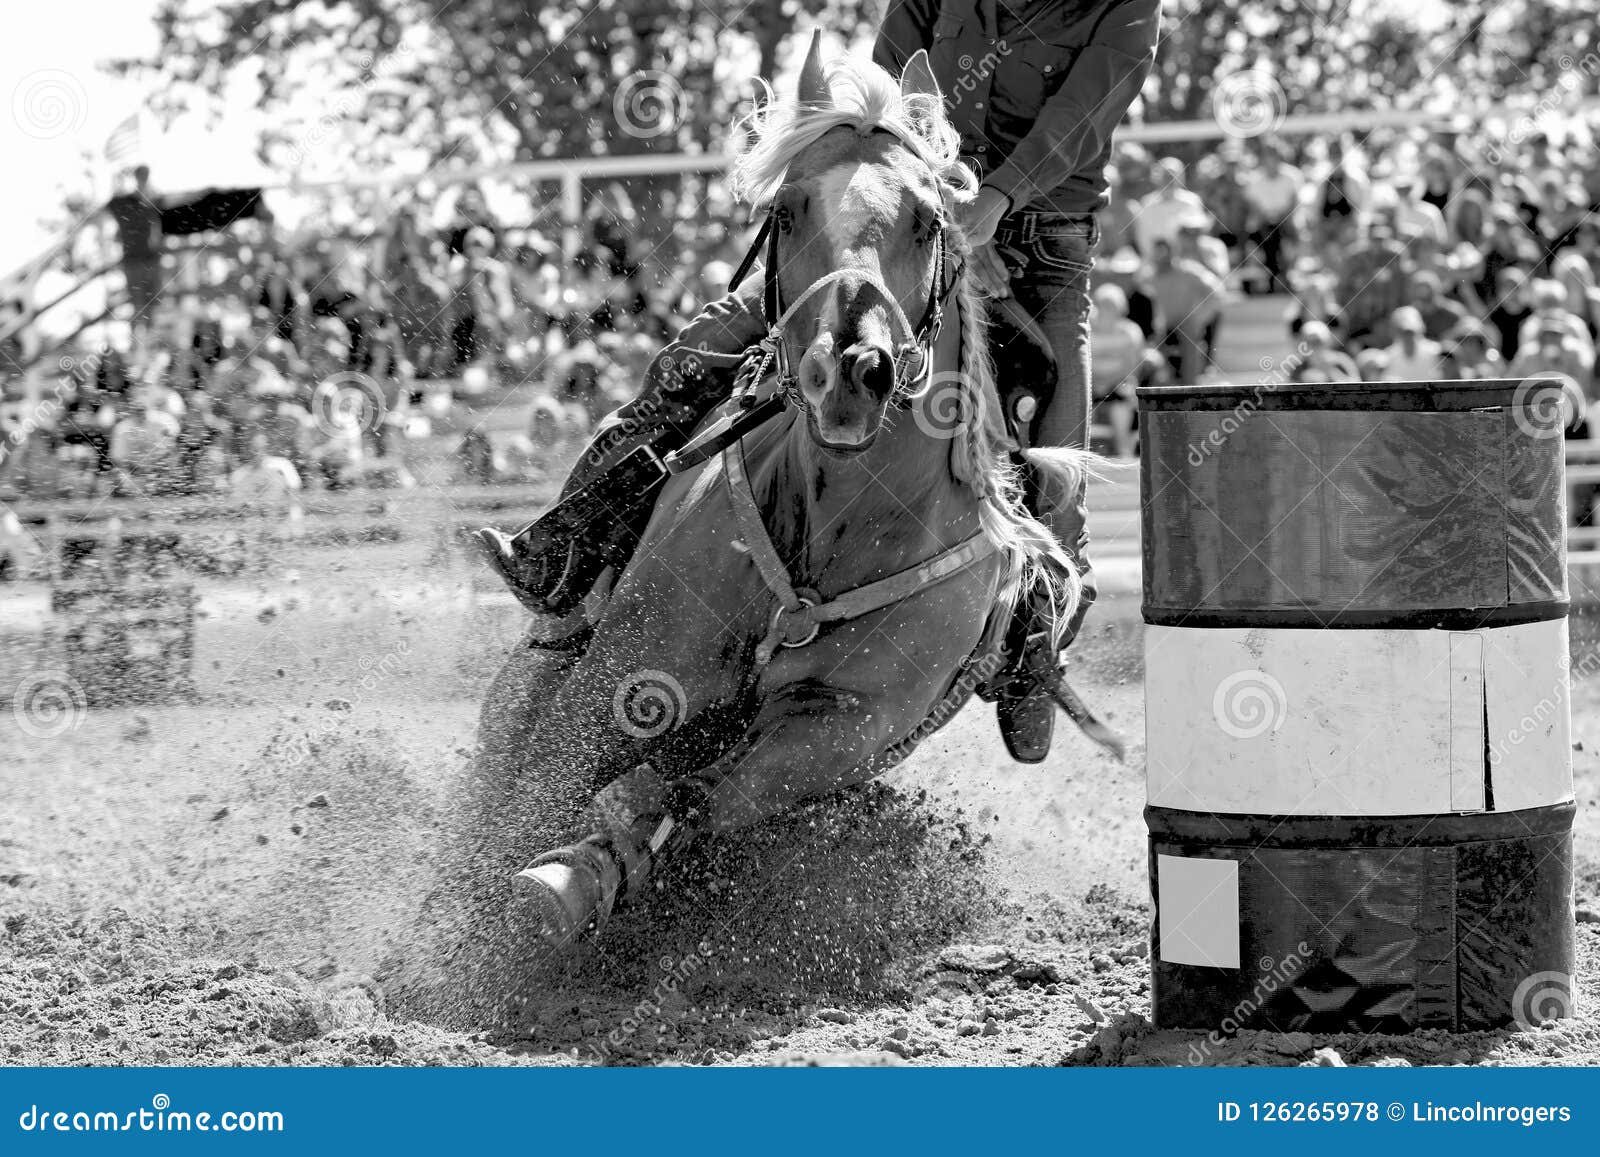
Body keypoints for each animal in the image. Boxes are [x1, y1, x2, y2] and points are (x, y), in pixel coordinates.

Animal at [464, 36, 1088, 960]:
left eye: (927, 220)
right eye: (789, 210)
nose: (850, 370)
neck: (832, 523)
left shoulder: (838, 726)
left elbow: (687, 799)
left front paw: (576, 879)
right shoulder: (627, 673)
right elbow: (535, 792)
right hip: (542, 662)